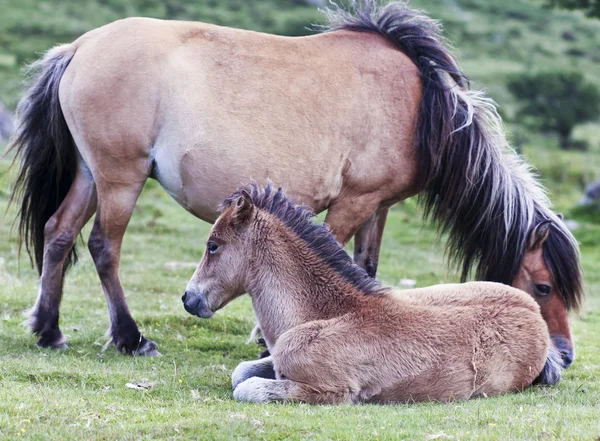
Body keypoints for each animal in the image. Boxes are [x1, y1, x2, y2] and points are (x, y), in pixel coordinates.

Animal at [9, 0, 580, 360]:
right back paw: (130, 338)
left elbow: (366, 265)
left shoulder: (379, 206)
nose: (566, 355)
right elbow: (335, 259)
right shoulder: (352, 202)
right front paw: (268, 337)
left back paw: (49, 331)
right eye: (543, 286)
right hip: (120, 179)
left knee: (59, 234)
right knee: (103, 246)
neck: (421, 106)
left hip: (90, 176)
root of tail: (79, 47)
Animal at [183, 184, 564, 404]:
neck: (323, 314)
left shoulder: (329, 390)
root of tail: (535, 314)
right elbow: (241, 371)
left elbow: (247, 388)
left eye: (213, 246)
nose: (189, 299)